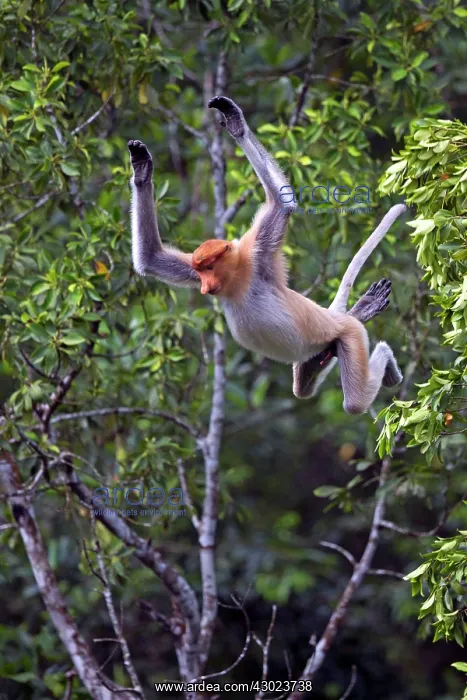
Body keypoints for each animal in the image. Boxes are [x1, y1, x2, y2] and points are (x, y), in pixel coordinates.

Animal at [128, 96, 405, 414]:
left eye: (209, 267)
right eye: (200, 270)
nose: (205, 287)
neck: (236, 279)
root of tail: (335, 318)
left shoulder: (257, 253)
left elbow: (282, 205)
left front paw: (235, 123)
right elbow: (151, 259)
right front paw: (141, 170)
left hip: (351, 335)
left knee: (356, 402)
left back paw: (385, 360)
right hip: (329, 342)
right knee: (305, 385)